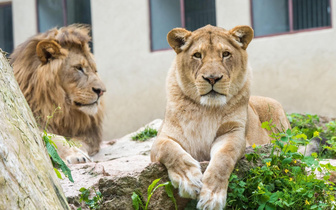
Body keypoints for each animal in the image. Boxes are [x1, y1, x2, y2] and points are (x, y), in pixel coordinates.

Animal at [10, 25, 105, 164]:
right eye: (78, 68)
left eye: (95, 70)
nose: (102, 91)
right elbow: (55, 138)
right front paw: (74, 155)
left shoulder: (88, 133)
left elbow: (78, 141)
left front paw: (78, 151)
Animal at [151, 25, 290, 209]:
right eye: (197, 55)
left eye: (225, 54)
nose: (212, 78)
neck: (206, 109)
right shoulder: (162, 139)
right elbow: (169, 150)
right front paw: (189, 180)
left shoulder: (233, 133)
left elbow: (223, 159)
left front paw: (211, 198)